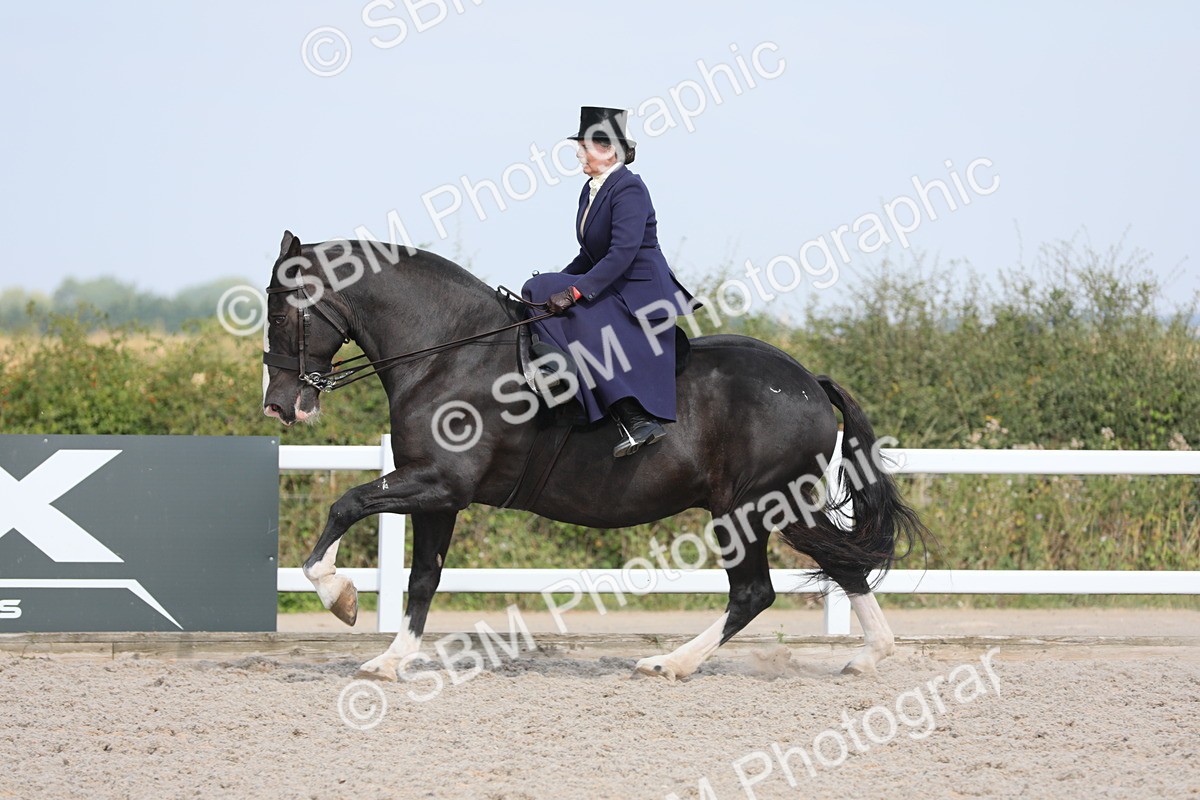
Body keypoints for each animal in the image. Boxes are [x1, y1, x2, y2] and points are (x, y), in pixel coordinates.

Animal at [262, 230, 927, 681]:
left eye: (278, 311)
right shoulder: (438, 496)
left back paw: (670, 664)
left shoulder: (439, 483)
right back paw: (869, 658)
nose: (280, 406)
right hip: (776, 506)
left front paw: (340, 598)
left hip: (750, 507)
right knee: (838, 565)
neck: (449, 352)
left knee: (756, 592)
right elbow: (423, 577)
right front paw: (391, 658)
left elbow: (347, 504)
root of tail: (808, 381)